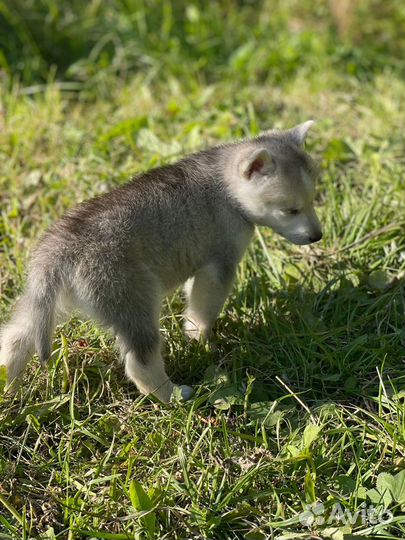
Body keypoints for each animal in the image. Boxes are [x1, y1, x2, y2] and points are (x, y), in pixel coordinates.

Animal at [0, 122, 322, 400]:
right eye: (290, 210)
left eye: (313, 200)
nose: (317, 236)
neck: (228, 187)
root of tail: (57, 251)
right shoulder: (218, 264)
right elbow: (203, 311)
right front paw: (201, 340)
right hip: (133, 300)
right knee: (139, 362)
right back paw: (174, 395)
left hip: (48, 306)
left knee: (15, 339)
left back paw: (9, 390)